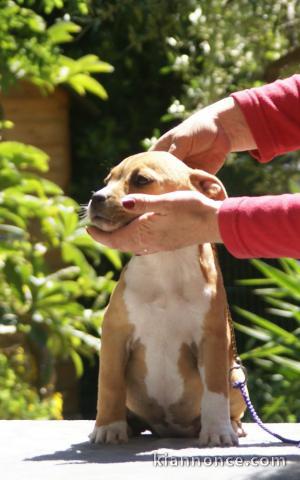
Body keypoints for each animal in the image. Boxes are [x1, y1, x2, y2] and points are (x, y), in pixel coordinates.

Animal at [87, 153, 246, 446]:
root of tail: (170, 428)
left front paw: (217, 431)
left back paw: (232, 425)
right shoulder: (115, 333)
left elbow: (215, 390)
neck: (164, 262)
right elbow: (110, 384)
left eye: (141, 180)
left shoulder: (213, 339)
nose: (97, 197)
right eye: (107, 180)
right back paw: (128, 425)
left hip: (238, 375)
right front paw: (108, 428)